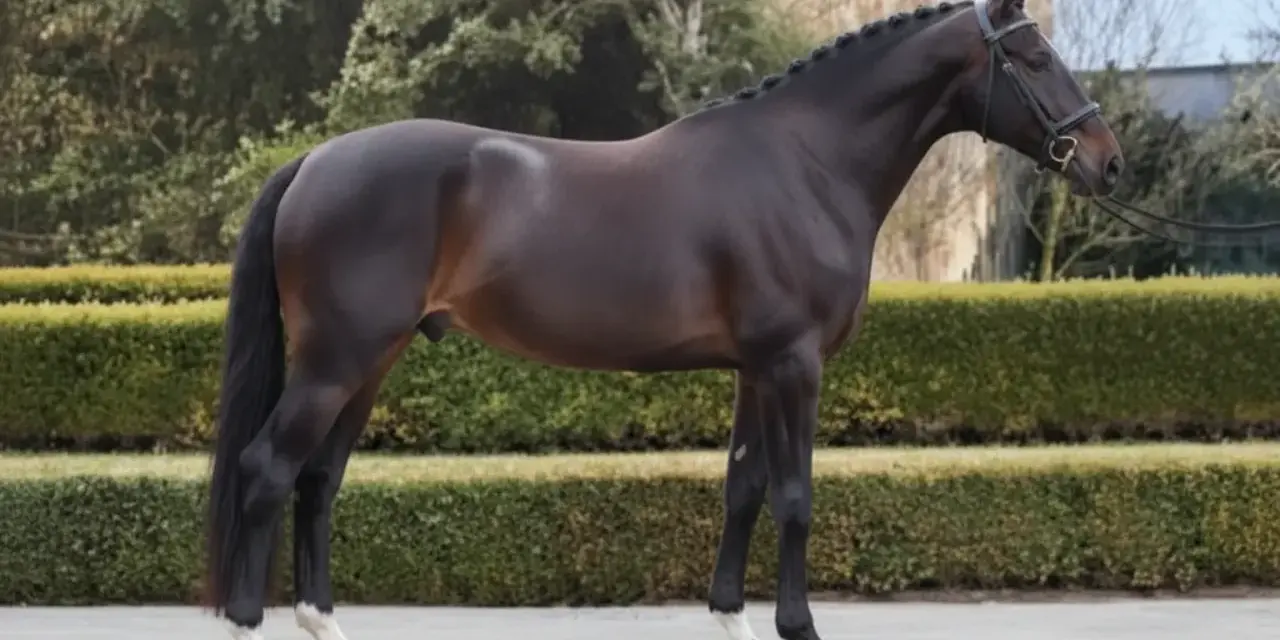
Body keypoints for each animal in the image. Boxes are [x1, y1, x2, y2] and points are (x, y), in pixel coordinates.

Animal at [202, 1, 1124, 639]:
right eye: (1036, 56)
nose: (1109, 163)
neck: (804, 165)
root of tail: (314, 161)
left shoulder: (756, 368)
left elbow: (743, 489)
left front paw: (731, 615)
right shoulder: (794, 365)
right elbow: (794, 496)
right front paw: (798, 623)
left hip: (368, 360)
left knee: (318, 480)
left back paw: (323, 618)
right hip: (336, 361)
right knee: (267, 470)